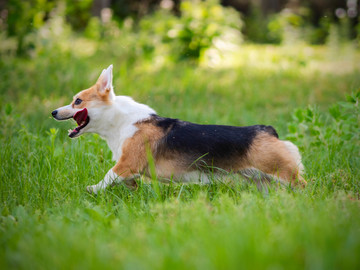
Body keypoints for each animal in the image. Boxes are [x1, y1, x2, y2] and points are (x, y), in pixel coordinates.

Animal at [52, 64, 306, 193]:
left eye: (77, 101)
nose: (53, 112)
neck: (119, 120)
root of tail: (268, 130)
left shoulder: (126, 164)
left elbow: (107, 176)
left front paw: (92, 189)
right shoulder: (129, 169)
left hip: (281, 172)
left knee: (302, 184)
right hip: (260, 179)